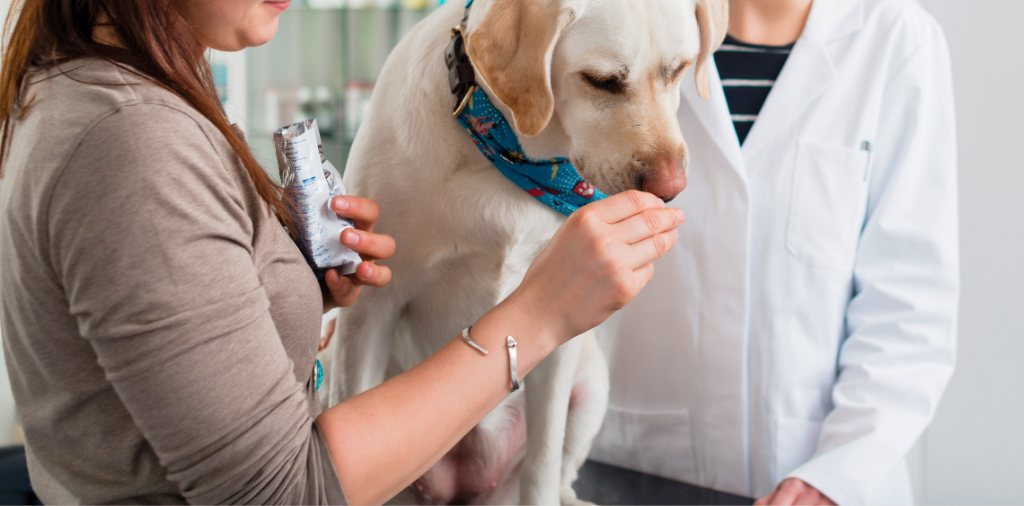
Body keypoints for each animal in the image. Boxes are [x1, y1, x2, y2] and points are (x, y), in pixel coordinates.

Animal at [319, 0, 729, 503]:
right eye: (601, 81)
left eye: (680, 69)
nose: (670, 189)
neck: (517, 160)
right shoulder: (370, 311)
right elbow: (353, 394)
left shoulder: (561, 342)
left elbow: (543, 460)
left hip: (592, 384)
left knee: (562, 470)